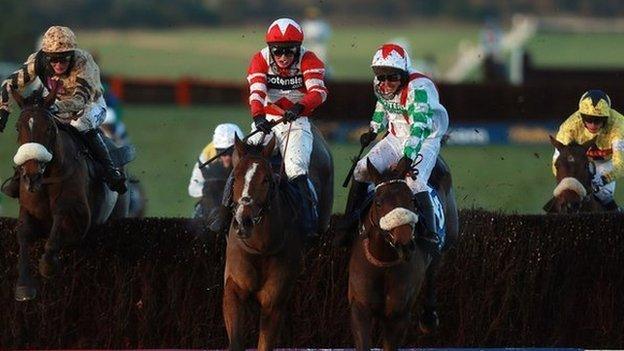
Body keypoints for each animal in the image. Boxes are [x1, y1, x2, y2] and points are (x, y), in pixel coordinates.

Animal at [9, 88, 129, 302]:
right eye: (17, 127)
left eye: (49, 128)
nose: (31, 174)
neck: (47, 179)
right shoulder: (28, 210)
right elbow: (23, 235)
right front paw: (24, 286)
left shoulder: (78, 217)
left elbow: (56, 231)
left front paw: (47, 265)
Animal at [223, 131, 334, 350]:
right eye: (236, 176)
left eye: (266, 179)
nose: (244, 221)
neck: (261, 247)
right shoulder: (234, 288)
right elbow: (236, 341)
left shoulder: (273, 302)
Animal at [346, 157, 458, 351]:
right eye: (378, 202)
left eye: (412, 200)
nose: (404, 244)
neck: (383, 263)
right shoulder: (360, 308)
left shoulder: (398, 315)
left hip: (446, 241)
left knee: (433, 271)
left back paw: (429, 318)